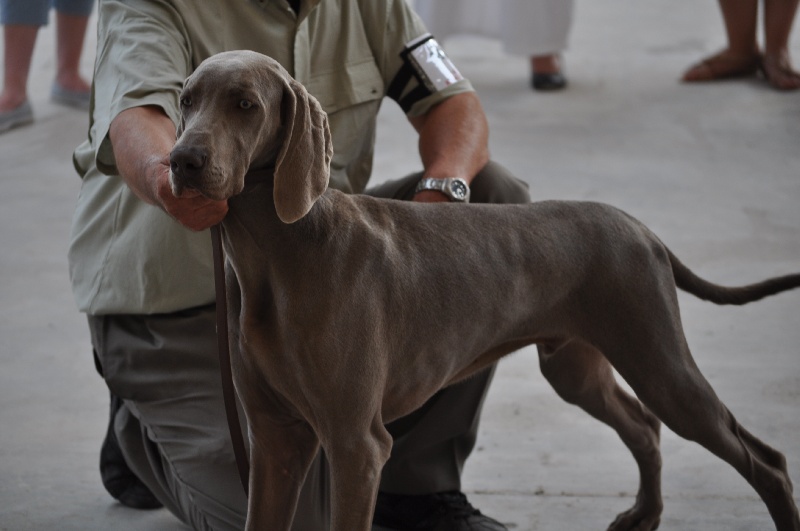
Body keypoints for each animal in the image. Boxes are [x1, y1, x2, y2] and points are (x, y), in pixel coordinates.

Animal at [170, 51, 800, 531]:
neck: (281, 254)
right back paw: (643, 515)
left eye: (245, 104)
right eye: (186, 100)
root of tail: (642, 229)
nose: (181, 161)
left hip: (660, 363)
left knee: (764, 459)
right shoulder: (275, 443)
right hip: (575, 366)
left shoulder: (356, 445)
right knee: (645, 426)